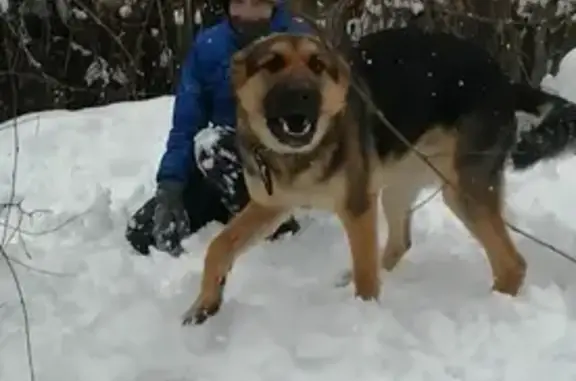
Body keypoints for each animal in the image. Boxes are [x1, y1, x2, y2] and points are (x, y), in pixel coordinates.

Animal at [179, 26, 576, 324]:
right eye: (272, 63)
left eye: (317, 65)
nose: (303, 94)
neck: (299, 155)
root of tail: (503, 81)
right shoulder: (270, 207)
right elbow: (218, 247)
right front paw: (203, 306)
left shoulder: (356, 207)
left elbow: (367, 276)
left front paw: (365, 317)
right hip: (397, 185)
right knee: (399, 243)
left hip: (460, 191)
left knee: (513, 264)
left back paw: (497, 308)